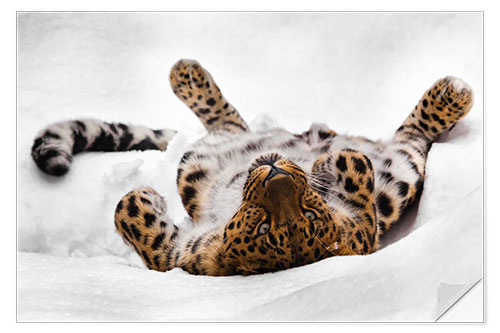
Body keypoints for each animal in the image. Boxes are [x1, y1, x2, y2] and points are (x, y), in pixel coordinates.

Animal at [30, 58, 472, 274]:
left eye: (311, 213)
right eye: (261, 224)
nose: (277, 170)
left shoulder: (363, 233)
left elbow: (128, 213)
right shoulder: (183, 254)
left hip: (400, 174)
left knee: (413, 137)